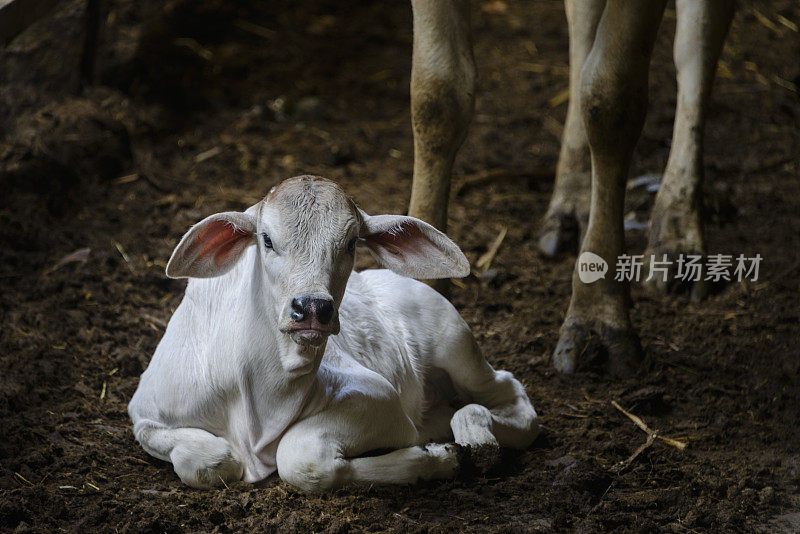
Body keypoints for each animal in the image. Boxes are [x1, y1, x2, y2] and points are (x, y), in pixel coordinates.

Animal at [128, 177, 536, 494]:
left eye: (352, 242)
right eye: (266, 239)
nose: (312, 308)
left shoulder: (379, 399)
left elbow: (300, 459)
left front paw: (440, 456)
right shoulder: (145, 414)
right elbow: (210, 462)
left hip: (457, 346)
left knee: (510, 396)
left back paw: (475, 438)